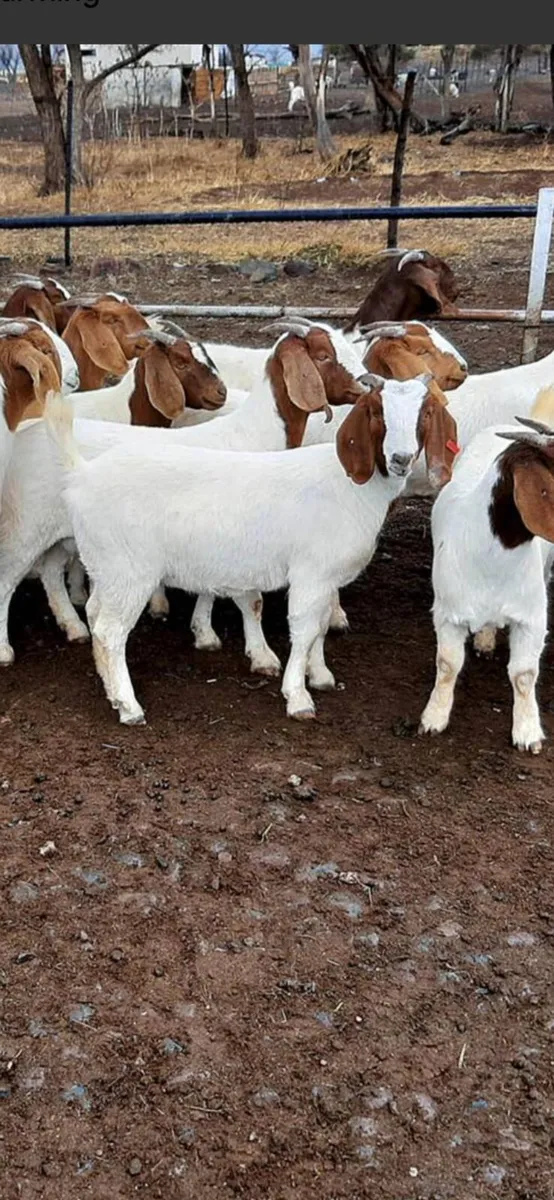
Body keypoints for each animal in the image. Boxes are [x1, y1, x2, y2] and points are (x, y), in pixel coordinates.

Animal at [45, 376, 457, 725]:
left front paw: (320, 673)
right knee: (110, 631)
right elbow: (304, 629)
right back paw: (129, 706)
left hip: (107, 567)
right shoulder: (311, 573)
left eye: (425, 413)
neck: (348, 485)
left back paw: (110, 689)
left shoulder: (326, 579)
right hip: (130, 570)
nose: (400, 458)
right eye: (375, 412)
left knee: (95, 615)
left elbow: (322, 625)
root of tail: (81, 474)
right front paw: (298, 696)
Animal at [420, 417, 554, 754]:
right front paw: (433, 718)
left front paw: (527, 732)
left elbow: (524, 675)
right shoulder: (447, 614)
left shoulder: (532, 618)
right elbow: (448, 665)